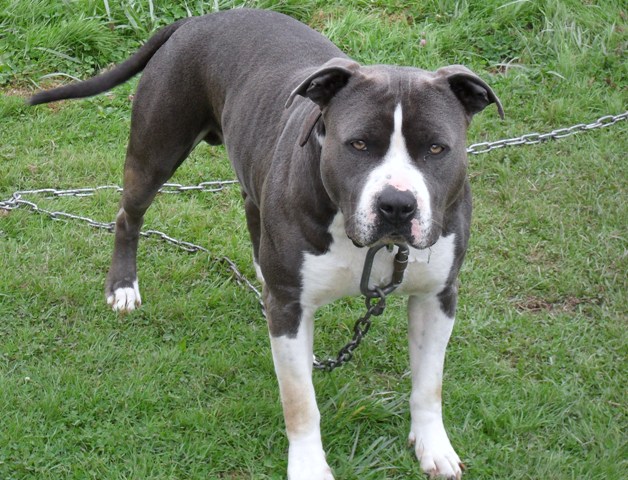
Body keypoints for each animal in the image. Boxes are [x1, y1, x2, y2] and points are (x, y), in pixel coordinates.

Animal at [29, 9, 503, 479]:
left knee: (250, 205)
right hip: (155, 149)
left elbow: (429, 383)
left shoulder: (437, 296)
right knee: (129, 216)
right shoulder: (291, 308)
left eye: (437, 148)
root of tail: (201, 18)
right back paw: (123, 287)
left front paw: (433, 446)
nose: (398, 205)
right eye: (359, 144)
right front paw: (310, 466)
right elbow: (301, 402)